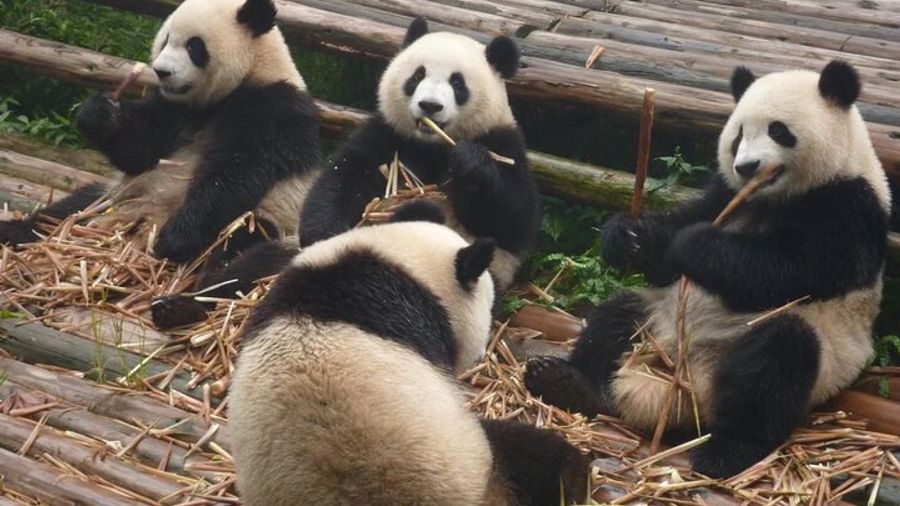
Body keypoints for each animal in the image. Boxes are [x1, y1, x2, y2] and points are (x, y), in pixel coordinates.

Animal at [0, 0, 320, 327]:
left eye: (195, 46)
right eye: (166, 40)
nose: (161, 72)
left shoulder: (273, 111)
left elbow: (234, 174)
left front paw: (173, 239)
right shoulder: (173, 109)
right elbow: (140, 151)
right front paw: (100, 114)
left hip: (273, 222)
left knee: (244, 259)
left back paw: (182, 307)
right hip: (116, 199)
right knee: (70, 208)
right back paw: (14, 231)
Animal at [299, 17, 539, 294]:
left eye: (457, 83)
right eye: (417, 75)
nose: (430, 106)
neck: (432, 145)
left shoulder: (503, 142)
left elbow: (514, 220)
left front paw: (470, 161)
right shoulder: (389, 135)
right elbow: (345, 177)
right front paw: (325, 234)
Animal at [524, 60, 891, 478]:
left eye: (778, 130)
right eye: (738, 135)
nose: (746, 166)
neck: (770, 197)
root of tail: (680, 385)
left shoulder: (848, 207)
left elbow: (792, 270)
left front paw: (694, 245)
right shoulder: (724, 192)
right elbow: (678, 239)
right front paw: (628, 236)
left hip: (815, 355)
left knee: (776, 361)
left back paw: (727, 451)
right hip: (657, 320)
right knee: (616, 316)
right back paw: (565, 381)